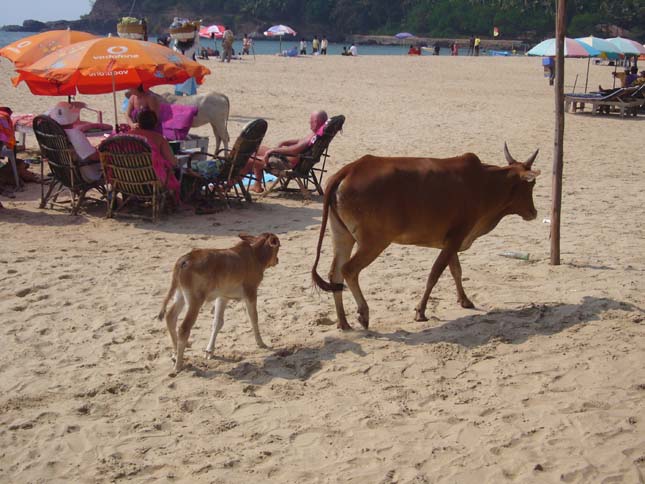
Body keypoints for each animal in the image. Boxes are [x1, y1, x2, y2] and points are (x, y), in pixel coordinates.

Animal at [158, 233, 280, 374]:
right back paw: (179, 365)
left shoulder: (222, 297)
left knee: (170, 317)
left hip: (180, 295)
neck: (255, 256)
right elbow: (254, 318)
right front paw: (261, 343)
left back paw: (174, 353)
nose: (277, 260)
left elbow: (217, 322)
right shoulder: (251, 292)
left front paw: (209, 351)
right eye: (278, 246)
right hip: (195, 301)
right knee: (184, 328)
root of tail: (184, 260)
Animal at [312, 145, 540, 328]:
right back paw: (363, 314)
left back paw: (343, 322)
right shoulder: (457, 236)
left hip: (342, 236)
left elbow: (456, 271)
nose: (534, 212)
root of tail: (350, 169)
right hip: (374, 242)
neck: (485, 184)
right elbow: (435, 273)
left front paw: (464, 300)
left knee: (335, 275)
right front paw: (420, 311)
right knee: (349, 270)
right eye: (531, 184)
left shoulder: (451, 240)